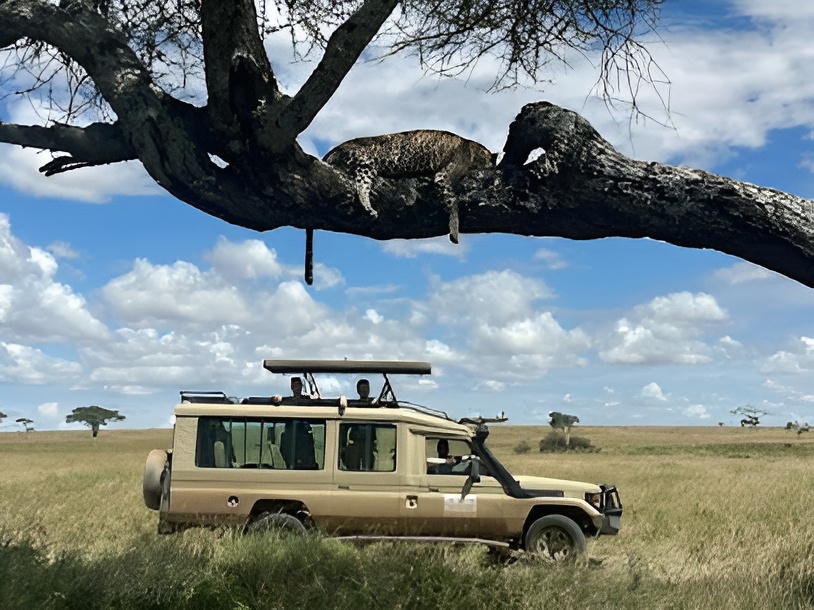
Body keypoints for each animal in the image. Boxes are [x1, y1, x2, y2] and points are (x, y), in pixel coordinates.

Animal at [326, 129, 498, 243]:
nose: (494, 167)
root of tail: (333, 150)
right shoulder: (443, 176)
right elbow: (454, 202)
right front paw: (454, 232)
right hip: (366, 164)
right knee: (360, 187)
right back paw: (369, 208)